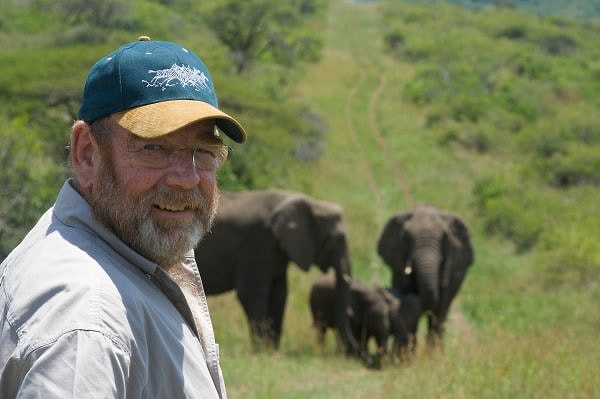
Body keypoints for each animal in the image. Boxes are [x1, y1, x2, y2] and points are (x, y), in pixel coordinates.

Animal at [195, 190, 358, 354]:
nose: (356, 354)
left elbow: (280, 293)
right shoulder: (258, 243)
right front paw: (261, 351)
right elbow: (251, 293)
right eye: (338, 239)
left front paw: (273, 351)